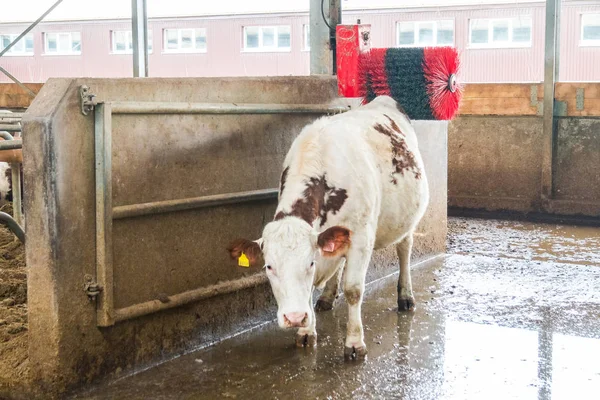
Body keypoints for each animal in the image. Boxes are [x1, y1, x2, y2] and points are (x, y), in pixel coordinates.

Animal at [227, 94, 428, 360]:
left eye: (310, 263)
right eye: (269, 266)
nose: (294, 317)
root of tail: (384, 100)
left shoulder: (361, 238)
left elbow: (353, 290)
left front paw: (354, 343)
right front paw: (305, 332)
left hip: (405, 220)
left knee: (404, 249)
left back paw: (405, 296)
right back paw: (327, 297)